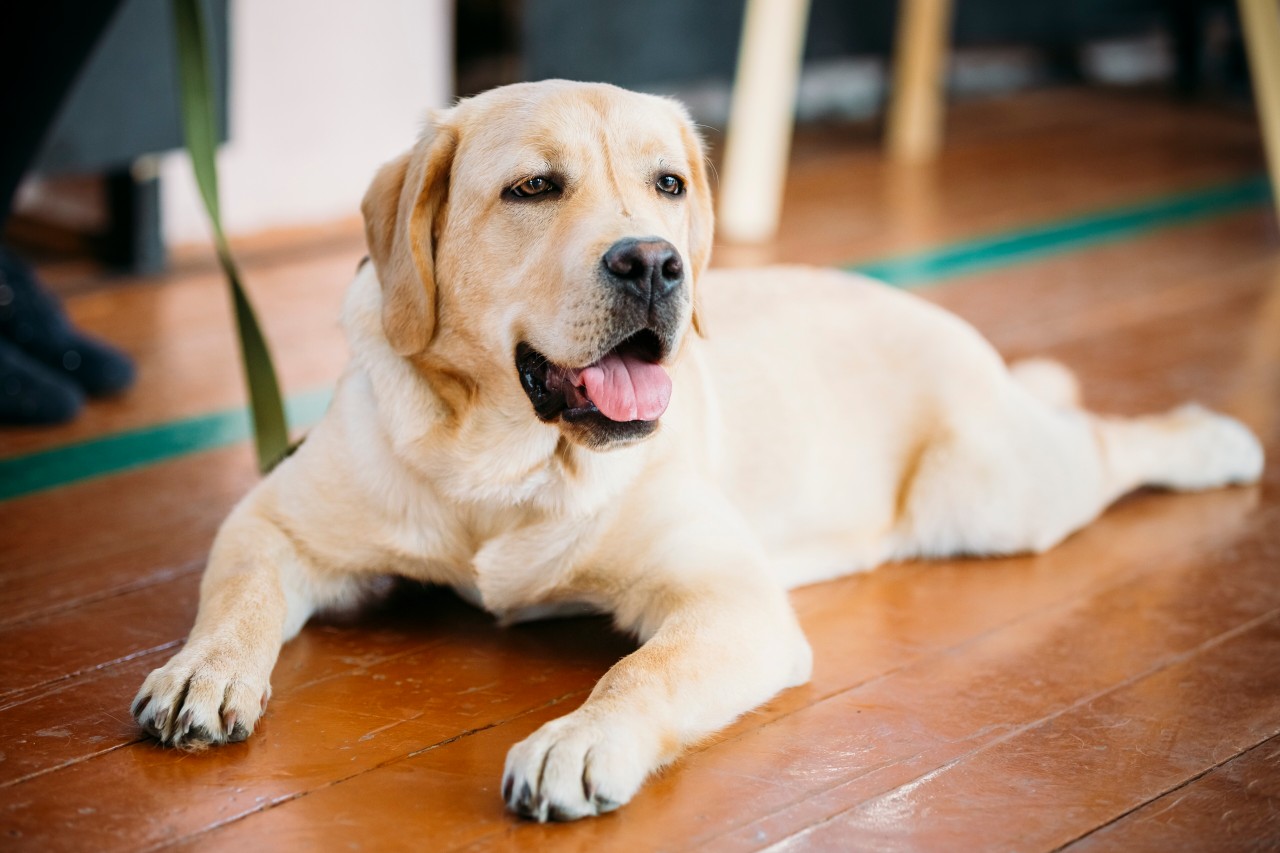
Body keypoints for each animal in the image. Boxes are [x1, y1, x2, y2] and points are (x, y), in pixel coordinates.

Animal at [132, 78, 1259, 819]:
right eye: (533, 188)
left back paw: (1212, 438)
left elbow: (642, 673)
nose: (652, 263)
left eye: (669, 184)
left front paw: (581, 739)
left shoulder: (728, 600)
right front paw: (202, 672)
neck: (508, 459)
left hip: (989, 494)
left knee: (1104, 436)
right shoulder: (273, 517)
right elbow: (234, 596)